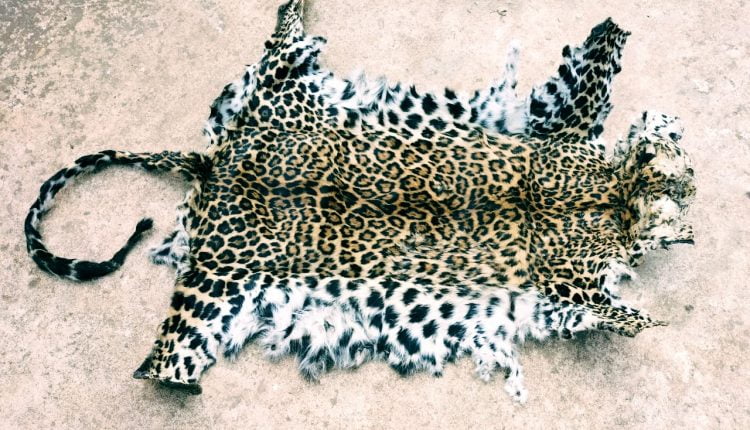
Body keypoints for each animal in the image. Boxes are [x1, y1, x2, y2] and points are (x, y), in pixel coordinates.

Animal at [25, 0, 694, 403]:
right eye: (685, 176)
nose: (693, 197)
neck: (617, 198)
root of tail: (215, 164)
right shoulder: (567, 269)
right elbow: (614, 306)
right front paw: (651, 317)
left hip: (275, 112)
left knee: (276, 56)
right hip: (218, 282)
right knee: (169, 350)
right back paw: (170, 380)